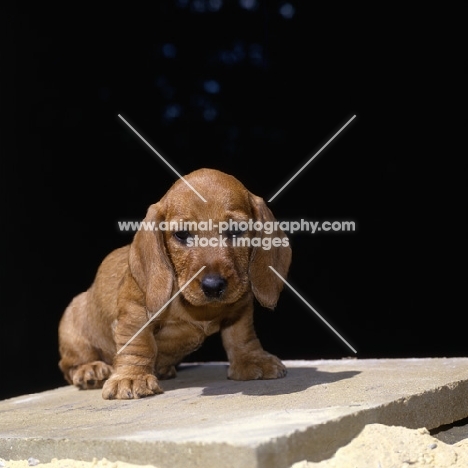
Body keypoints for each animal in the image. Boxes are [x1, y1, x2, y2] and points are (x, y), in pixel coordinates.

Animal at [59, 168, 292, 398]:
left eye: (236, 229)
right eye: (182, 234)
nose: (213, 286)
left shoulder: (240, 309)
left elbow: (241, 335)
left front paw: (252, 359)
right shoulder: (134, 313)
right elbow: (137, 345)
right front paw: (132, 377)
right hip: (72, 327)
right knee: (70, 365)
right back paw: (90, 369)